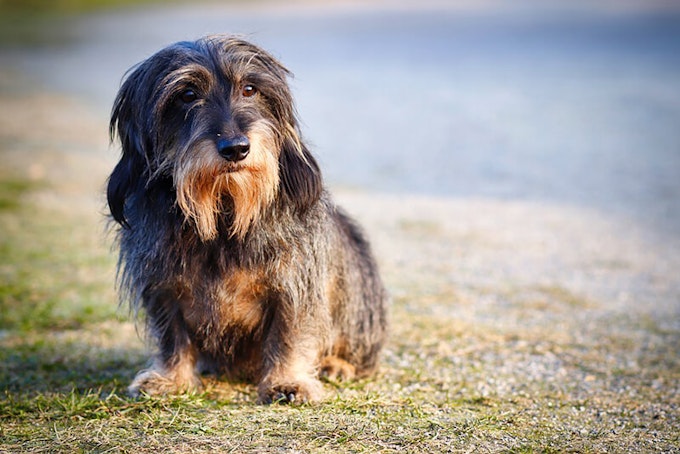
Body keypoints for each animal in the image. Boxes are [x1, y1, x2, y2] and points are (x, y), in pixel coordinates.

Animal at [106, 35, 388, 404]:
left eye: (250, 88)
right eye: (187, 94)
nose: (236, 148)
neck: (225, 213)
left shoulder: (294, 283)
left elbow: (289, 332)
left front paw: (287, 381)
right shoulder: (163, 285)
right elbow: (172, 336)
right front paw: (171, 379)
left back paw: (337, 364)